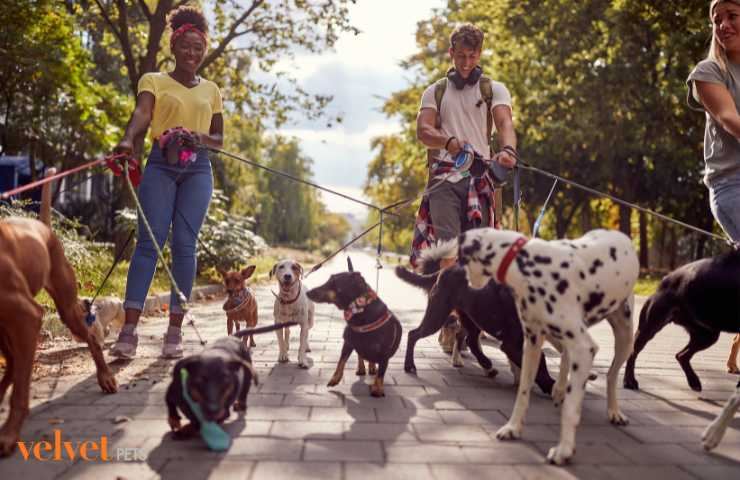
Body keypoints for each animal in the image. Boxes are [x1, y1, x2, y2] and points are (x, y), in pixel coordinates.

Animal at [0, 171, 118, 456]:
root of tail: (43, 227)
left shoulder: (27, 315)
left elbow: (20, 390)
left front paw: (9, 434)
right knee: (13, 362)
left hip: (65, 307)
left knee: (92, 339)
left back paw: (106, 377)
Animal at [304, 258, 402, 398]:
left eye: (333, 282)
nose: (308, 292)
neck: (360, 310)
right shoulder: (348, 342)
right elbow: (341, 361)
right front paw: (335, 379)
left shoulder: (384, 354)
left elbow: (381, 372)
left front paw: (377, 389)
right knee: (361, 355)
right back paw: (362, 368)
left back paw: (372, 368)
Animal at [456, 229, 636, 464]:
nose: (466, 281)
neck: (529, 264)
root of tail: (619, 235)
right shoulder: (531, 343)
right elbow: (523, 391)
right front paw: (513, 428)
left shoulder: (584, 348)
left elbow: (571, 408)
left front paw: (564, 450)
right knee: (566, 358)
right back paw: (559, 388)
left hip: (625, 338)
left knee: (612, 375)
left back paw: (614, 411)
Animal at [624, 249, 740, 392]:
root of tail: (666, 279)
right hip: (650, 327)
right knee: (634, 351)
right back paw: (629, 381)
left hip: (707, 335)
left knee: (681, 355)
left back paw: (694, 381)